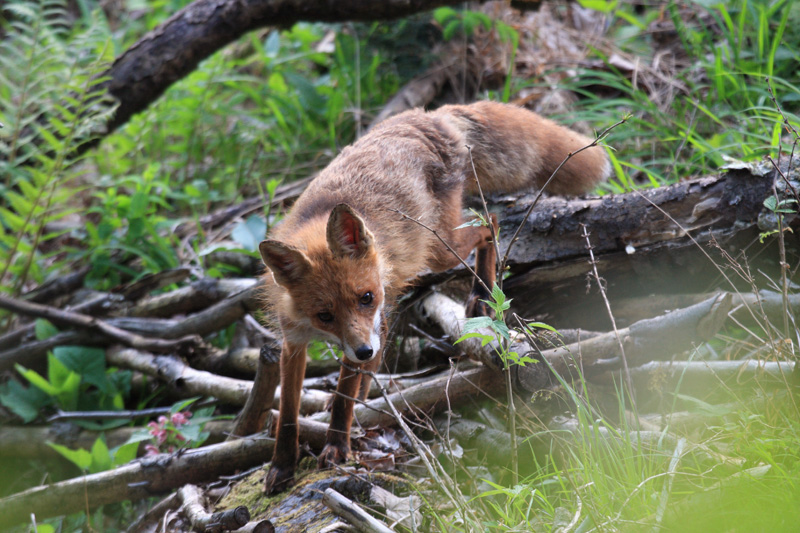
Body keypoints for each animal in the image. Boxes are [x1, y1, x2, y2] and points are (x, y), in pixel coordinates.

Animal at [260, 98, 608, 490]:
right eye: (325, 315)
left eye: (364, 297)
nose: (363, 351)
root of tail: (431, 115)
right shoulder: (292, 341)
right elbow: (288, 412)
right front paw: (282, 466)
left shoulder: (369, 318)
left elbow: (343, 398)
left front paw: (337, 446)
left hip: (440, 248)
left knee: (490, 224)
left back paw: (483, 292)